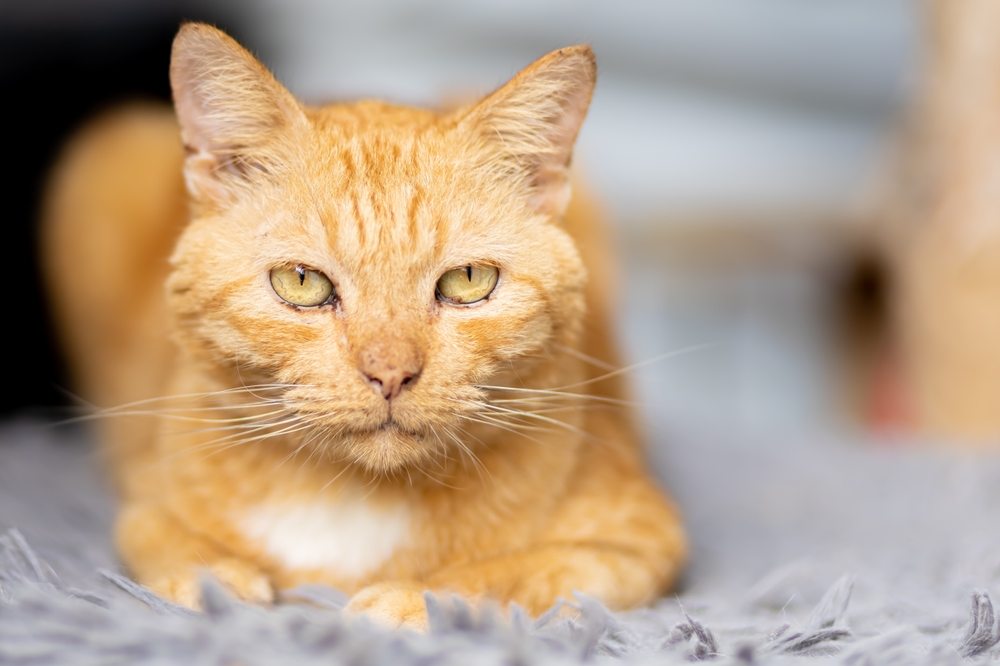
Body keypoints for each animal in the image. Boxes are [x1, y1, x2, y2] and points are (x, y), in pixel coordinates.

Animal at [45, 23, 688, 624]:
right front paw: (214, 581)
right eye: (301, 282)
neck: (356, 500)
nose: (390, 374)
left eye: (468, 280)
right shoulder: (145, 499)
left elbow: (517, 575)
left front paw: (412, 601)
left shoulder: (637, 542)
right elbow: (165, 544)